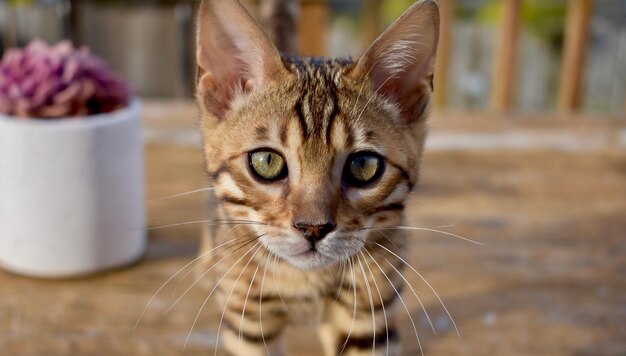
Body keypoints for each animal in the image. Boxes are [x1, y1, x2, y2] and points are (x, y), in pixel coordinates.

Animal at [195, 0, 438, 354]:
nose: (313, 228)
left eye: (363, 165)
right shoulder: (248, 323)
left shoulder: (368, 318)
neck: (305, 281)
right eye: (266, 161)